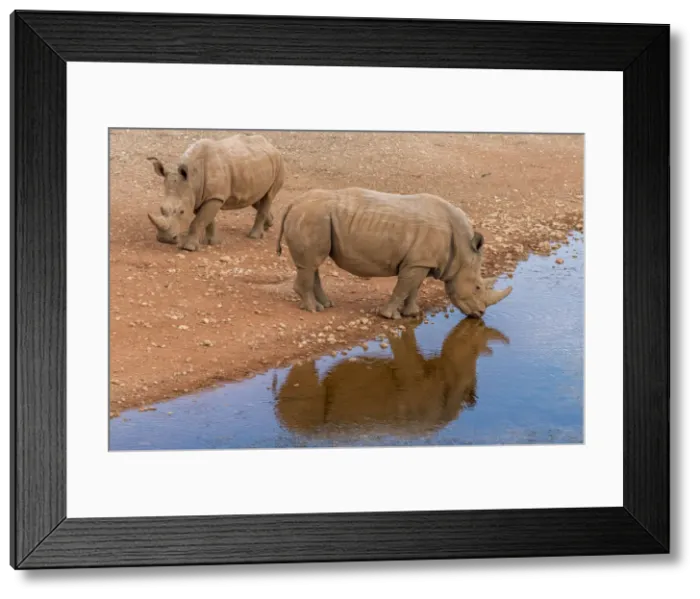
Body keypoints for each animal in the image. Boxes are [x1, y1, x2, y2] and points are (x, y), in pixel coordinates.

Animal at [146, 133, 285, 251]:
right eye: (161, 209)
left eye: (182, 211)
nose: (164, 239)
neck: (193, 178)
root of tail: (271, 145)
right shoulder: (200, 196)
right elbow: (207, 220)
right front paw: (211, 242)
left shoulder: (213, 197)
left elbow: (198, 221)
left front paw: (189, 248)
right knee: (256, 198)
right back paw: (268, 225)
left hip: (279, 162)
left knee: (268, 196)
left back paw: (254, 236)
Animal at [275, 187, 512, 319]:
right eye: (478, 287)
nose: (480, 314)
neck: (463, 249)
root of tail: (293, 202)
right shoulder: (418, 262)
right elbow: (403, 288)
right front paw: (389, 316)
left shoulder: (421, 261)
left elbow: (414, 288)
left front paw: (412, 314)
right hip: (312, 216)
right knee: (310, 263)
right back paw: (313, 310)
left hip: (315, 216)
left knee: (312, 263)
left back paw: (326, 305)